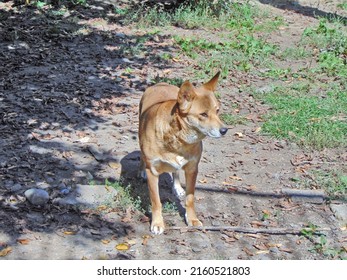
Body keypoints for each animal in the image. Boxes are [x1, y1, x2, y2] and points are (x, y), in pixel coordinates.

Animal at [139, 71, 228, 234]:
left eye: (217, 110)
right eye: (203, 114)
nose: (224, 130)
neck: (179, 140)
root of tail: (160, 83)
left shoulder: (192, 169)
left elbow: (190, 199)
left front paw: (192, 219)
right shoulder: (153, 172)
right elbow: (156, 201)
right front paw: (157, 223)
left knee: (175, 171)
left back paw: (178, 187)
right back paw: (141, 171)